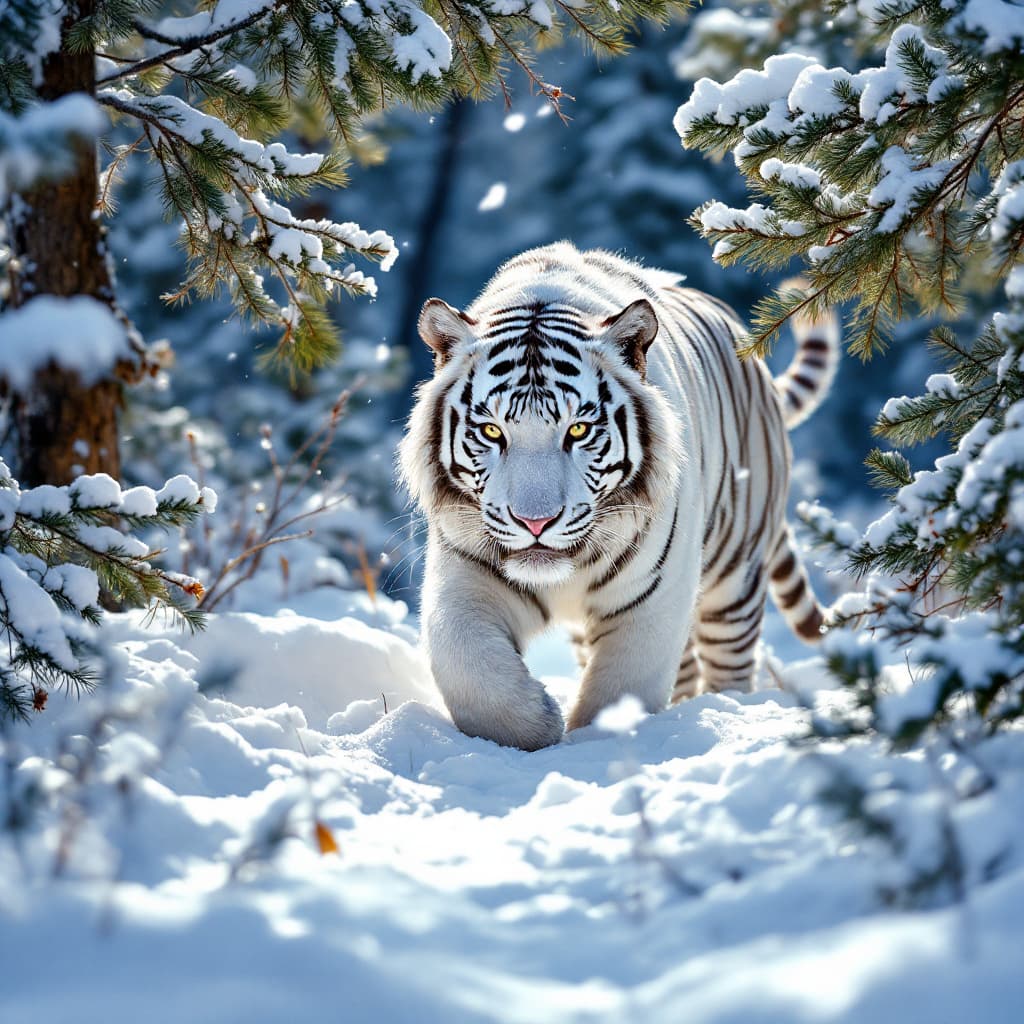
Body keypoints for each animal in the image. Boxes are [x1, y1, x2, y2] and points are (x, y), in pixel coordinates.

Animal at [399, 242, 838, 751]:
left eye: (578, 430)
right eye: (491, 431)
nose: (535, 523)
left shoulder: (654, 598)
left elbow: (620, 688)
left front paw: (596, 742)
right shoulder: (466, 570)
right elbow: (466, 664)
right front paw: (537, 721)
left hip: (735, 580)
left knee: (728, 665)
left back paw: (723, 711)